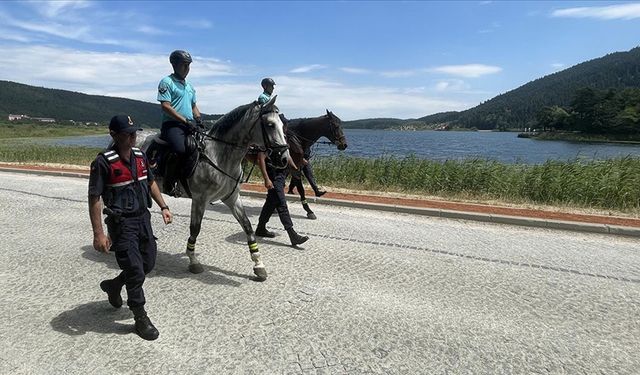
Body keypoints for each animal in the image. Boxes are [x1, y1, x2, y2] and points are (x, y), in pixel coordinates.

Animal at [142, 95, 290, 280]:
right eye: (270, 124)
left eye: (282, 125)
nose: (284, 158)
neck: (218, 155)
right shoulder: (199, 199)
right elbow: (195, 228)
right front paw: (193, 261)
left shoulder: (232, 198)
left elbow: (247, 226)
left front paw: (258, 264)